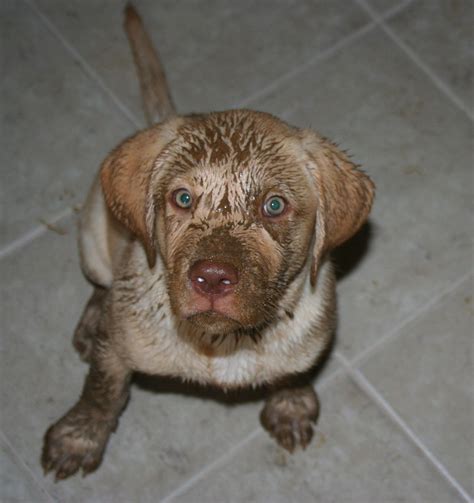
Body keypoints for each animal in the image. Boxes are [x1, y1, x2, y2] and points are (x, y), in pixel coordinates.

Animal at [40, 4, 374, 480]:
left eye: (274, 205)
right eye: (182, 198)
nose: (212, 279)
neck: (224, 343)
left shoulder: (311, 337)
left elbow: (294, 369)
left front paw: (290, 402)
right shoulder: (117, 352)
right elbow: (102, 389)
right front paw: (80, 434)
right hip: (92, 234)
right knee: (101, 285)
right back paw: (93, 320)